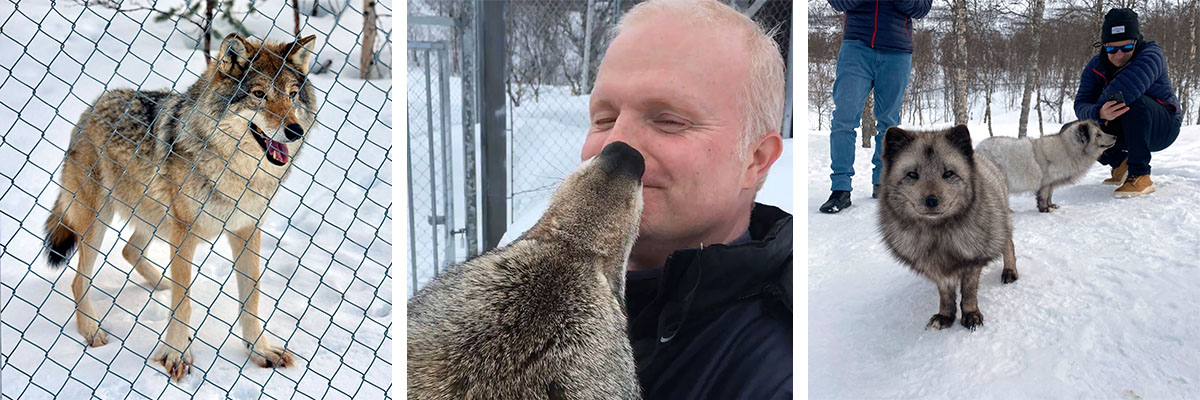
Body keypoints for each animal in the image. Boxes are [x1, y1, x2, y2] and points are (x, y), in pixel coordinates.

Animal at [42, 33, 317, 381]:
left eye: (293, 95)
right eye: (259, 95)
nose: (295, 131)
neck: (237, 172)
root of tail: (94, 105)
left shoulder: (246, 229)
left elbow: (251, 297)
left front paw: (260, 350)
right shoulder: (185, 231)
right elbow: (183, 301)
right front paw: (176, 355)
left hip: (155, 219)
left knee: (131, 250)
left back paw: (160, 284)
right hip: (99, 223)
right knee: (80, 281)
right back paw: (92, 331)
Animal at [877, 125, 1018, 331]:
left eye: (948, 173)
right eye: (912, 174)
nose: (931, 201)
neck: (939, 236)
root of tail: (981, 156)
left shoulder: (972, 260)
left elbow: (969, 291)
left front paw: (971, 314)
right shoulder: (936, 267)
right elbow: (945, 294)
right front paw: (945, 316)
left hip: (1000, 225)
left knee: (1008, 244)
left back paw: (1010, 271)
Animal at [975, 120, 1115, 212]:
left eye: (1102, 131)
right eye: (1098, 134)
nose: (1115, 136)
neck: (1067, 149)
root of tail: (977, 150)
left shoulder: (1051, 183)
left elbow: (1049, 196)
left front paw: (1051, 206)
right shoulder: (1045, 183)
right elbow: (1043, 197)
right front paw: (1045, 209)